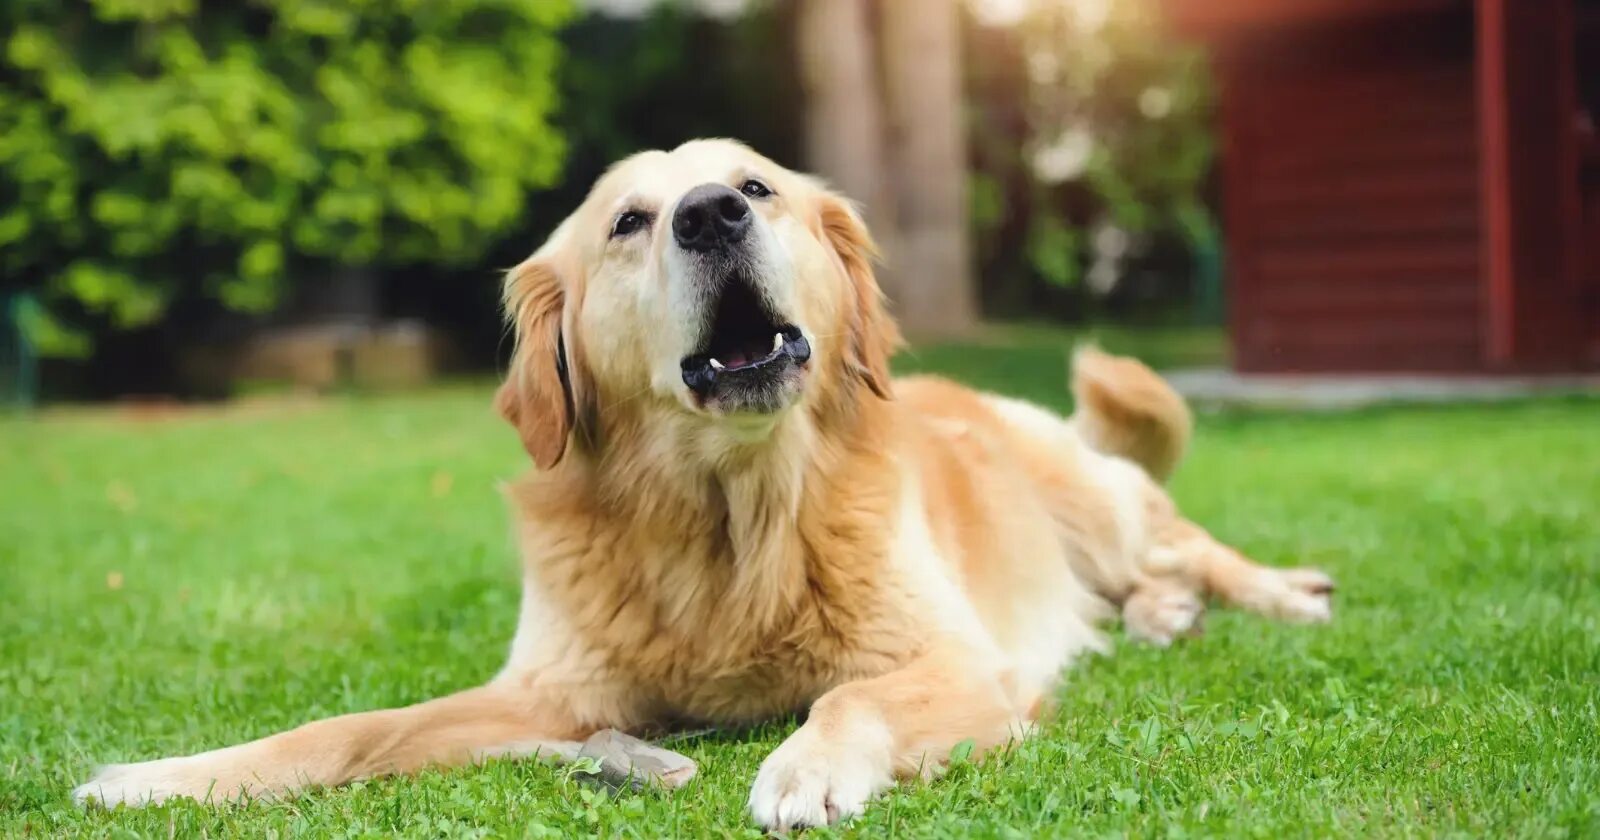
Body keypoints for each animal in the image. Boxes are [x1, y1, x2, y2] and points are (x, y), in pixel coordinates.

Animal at [75, 140, 1331, 825]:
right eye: (629, 221)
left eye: (757, 188)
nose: (710, 213)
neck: (728, 517)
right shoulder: (549, 696)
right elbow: (348, 730)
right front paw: (164, 777)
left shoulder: (960, 662)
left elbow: (847, 698)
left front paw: (806, 770)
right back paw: (1166, 618)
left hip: (1096, 504)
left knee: (1188, 546)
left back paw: (1277, 592)